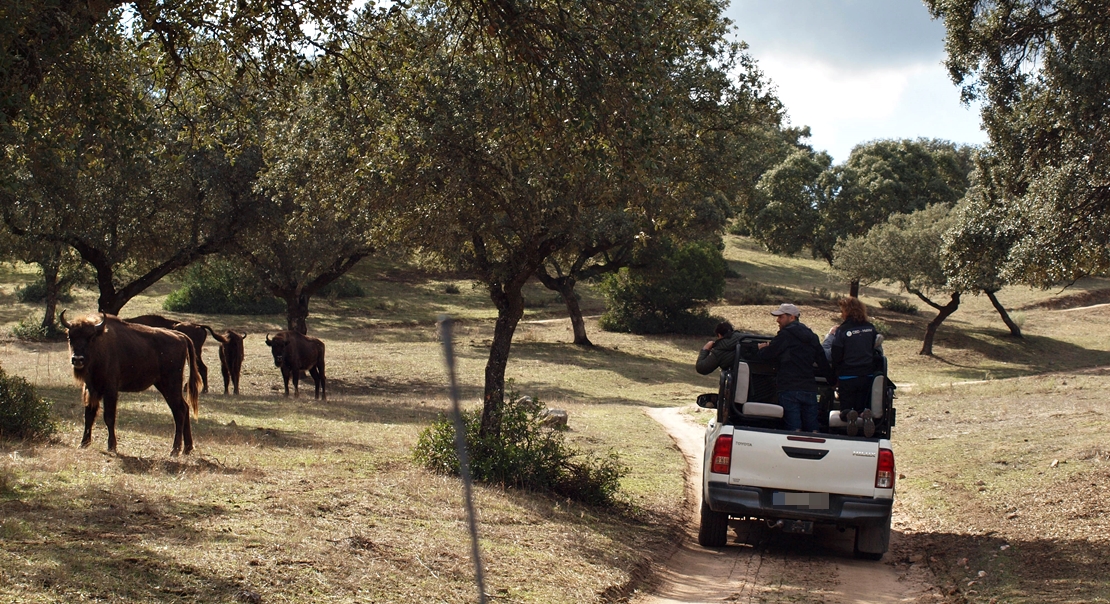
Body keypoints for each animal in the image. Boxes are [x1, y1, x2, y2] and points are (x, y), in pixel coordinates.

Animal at [60, 310, 202, 453]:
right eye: (70, 337)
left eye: (91, 337)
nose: (78, 359)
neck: (100, 345)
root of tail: (181, 336)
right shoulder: (90, 389)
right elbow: (89, 416)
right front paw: (83, 443)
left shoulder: (110, 390)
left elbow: (109, 417)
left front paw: (112, 446)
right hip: (163, 385)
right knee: (184, 407)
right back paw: (187, 448)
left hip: (171, 384)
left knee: (179, 410)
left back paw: (175, 450)